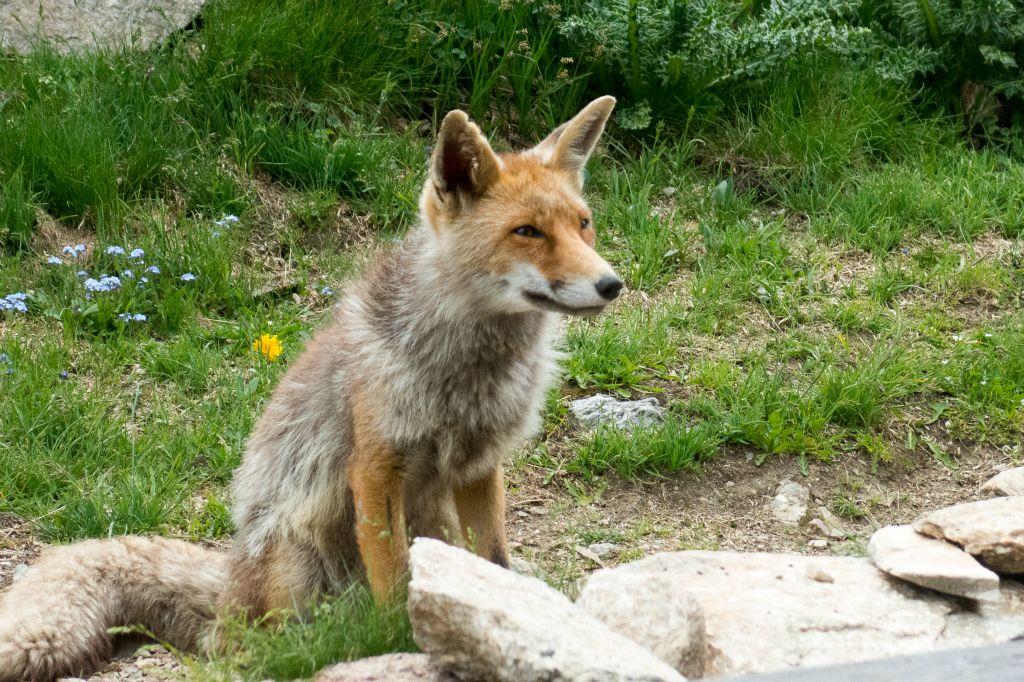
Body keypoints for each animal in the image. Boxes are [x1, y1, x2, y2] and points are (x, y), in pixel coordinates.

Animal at [0, 93, 622, 675]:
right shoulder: (375, 467)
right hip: (297, 555)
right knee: (254, 646)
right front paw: (402, 642)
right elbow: (394, 580)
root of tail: (228, 586)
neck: (469, 373)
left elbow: (494, 563)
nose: (611, 284)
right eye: (527, 232)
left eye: (582, 224)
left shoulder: (477, 463)